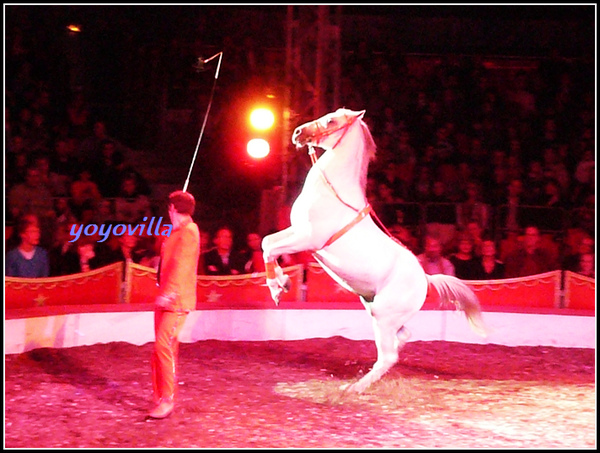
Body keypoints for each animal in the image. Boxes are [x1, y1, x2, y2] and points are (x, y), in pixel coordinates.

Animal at [262, 107, 488, 390]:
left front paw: (277, 289)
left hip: (383, 314)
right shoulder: (298, 233)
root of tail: (425, 278)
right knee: (402, 337)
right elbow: (268, 242)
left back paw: (355, 388)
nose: (298, 133)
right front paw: (283, 284)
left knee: (388, 355)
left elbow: (269, 247)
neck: (332, 194)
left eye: (331, 120)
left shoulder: (308, 239)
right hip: (378, 310)